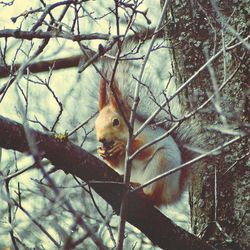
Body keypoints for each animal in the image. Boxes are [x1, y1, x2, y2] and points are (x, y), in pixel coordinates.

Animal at [94, 43, 192, 207]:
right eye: (94, 126)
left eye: (116, 121)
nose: (101, 139)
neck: (125, 134)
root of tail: (172, 195)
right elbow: (118, 165)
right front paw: (102, 153)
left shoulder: (148, 136)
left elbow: (145, 149)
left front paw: (123, 147)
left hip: (162, 165)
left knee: (153, 195)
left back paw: (143, 192)